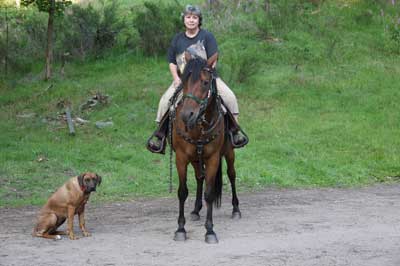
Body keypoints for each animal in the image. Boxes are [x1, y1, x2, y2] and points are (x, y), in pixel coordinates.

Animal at [172, 53, 241, 244]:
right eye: (184, 81)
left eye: (204, 82)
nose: (186, 115)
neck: (199, 127)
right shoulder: (181, 158)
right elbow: (182, 192)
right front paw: (180, 229)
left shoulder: (213, 158)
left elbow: (209, 193)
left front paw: (210, 231)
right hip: (196, 159)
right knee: (199, 178)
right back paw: (196, 210)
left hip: (229, 153)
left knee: (232, 175)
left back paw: (236, 209)